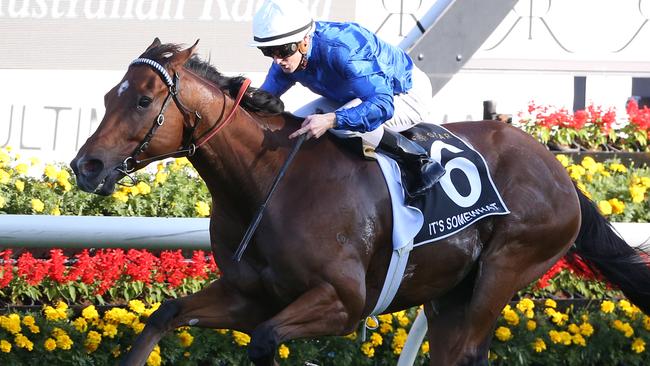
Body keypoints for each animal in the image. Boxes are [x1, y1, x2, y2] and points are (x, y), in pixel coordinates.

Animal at [71, 38, 648, 364]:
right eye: (107, 96)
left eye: (144, 99)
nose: (86, 166)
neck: (264, 182)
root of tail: (559, 169)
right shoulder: (249, 296)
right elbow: (165, 315)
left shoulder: (343, 303)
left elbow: (264, 341)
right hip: (449, 292)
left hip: (507, 267)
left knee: (468, 348)